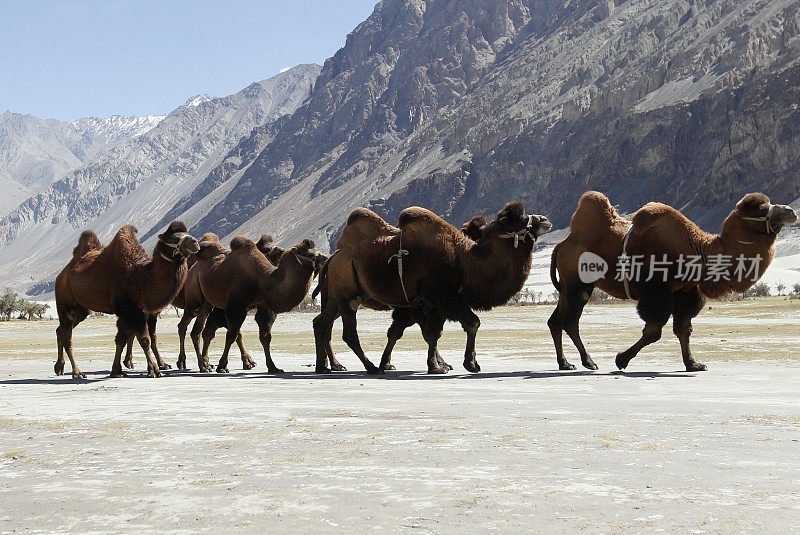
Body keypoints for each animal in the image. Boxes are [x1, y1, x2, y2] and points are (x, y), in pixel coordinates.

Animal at [55, 220, 198, 378]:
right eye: (174, 238)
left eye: (187, 233)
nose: (195, 242)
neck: (141, 276)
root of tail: (62, 274)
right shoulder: (130, 310)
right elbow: (144, 339)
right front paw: (154, 370)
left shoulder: (133, 311)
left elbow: (122, 339)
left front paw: (116, 370)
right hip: (65, 302)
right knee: (67, 336)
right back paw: (77, 372)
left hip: (82, 309)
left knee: (60, 330)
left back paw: (59, 367)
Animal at [183, 237, 326, 374]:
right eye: (310, 253)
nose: (325, 258)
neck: (263, 280)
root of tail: (195, 267)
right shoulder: (236, 307)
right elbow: (231, 335)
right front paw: (222, 366)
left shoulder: (264, 306)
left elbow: (265, 336)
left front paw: (273, 367)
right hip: (193, 296)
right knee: (190, 325)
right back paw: (198, 365)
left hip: (206, 302)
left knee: (198, 330)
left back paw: (204, 365)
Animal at [312, 203, 552, 374]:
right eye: (517, 219)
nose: (545, 220)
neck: (465, 261)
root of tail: (333, 258)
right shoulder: (441, 297)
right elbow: (467, 324)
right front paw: (463, 364)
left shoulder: (427, 304)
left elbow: (429, 333)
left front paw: (440, 364)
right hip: (347, 296)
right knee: (347, 333)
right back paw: (368, 367)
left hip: (336, 298)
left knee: (321, 323)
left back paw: (323, 367)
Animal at [548, 193, 796, 372]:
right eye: (762, 209)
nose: (791, 211)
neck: (698, 252)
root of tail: (562, 245)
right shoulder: (657, 292)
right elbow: (654, 331)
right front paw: (621, 360)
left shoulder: (685, 292)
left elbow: (684, 329)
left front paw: (694, 364)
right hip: (578, 285)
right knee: (569, 321)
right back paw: (586, 361)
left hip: (572, 287)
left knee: (557, 320)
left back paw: (568, 363)